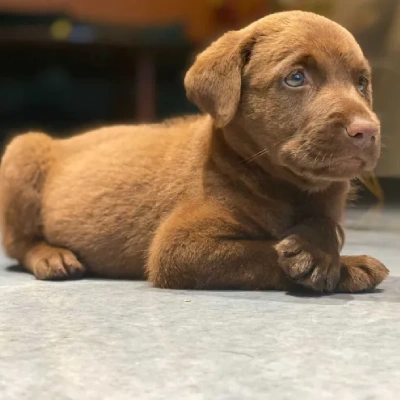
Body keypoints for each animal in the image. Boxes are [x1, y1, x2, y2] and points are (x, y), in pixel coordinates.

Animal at [0, 10, 388, 292]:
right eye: (296, 78)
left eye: (361, 83)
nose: (367, 131)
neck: (281, 184)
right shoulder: (180, 248)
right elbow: (258, 252)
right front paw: (344, 265)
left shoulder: (326, 202)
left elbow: (326, 223)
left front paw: (323, 251)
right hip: (21, 154)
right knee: (19, 243)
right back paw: (53, 256)